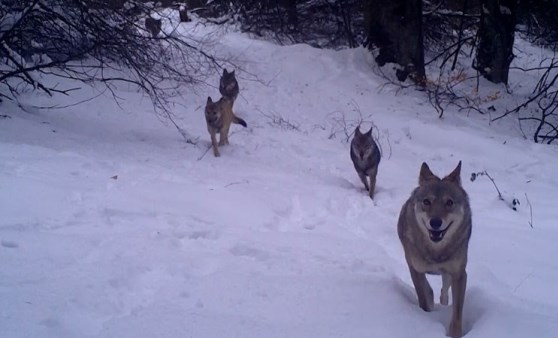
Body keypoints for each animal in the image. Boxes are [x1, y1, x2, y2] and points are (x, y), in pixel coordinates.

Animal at [398, 161, 472, 338]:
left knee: (444, 290)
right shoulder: (415, 269)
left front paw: (455, 334)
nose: (436, 222)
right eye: (427, 202)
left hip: (449, 275)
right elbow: (423, 297)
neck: (436, 252)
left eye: (449, 202)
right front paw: (426, 314)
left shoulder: (459, 274)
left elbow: (457, 314)